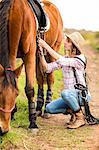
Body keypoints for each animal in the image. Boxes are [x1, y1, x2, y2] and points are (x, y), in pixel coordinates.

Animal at [0, 0, 62, 135]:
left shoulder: (29, 55)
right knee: (40, 78)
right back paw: (38, 108)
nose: (3, 129)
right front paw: (14, 113)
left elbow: (29, 89)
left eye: (17, 94)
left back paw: (46, 109)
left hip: (52, 51)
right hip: (39, 56)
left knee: (50, 78)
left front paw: (33, 124)